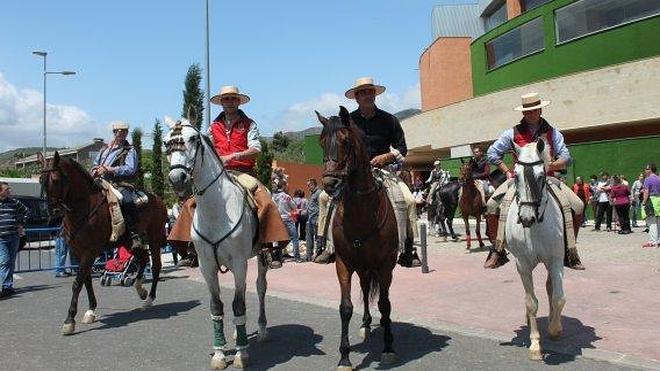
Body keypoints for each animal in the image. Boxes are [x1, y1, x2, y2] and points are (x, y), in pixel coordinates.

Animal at [38, 153, 168, 336]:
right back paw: (140, 288)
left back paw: (149, 299)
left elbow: (77, 283)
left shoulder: (90, 251)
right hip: (129, 243)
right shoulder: (78, 252)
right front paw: (90, 311)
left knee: (155, 266)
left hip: (154, 238)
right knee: (142, 259)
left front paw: (69, 320)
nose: (52, 212)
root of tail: (158, 200)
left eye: (55, 179)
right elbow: (86, 281)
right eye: (41, 180)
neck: (84, 208)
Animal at [164, 118, 268, 370]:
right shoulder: (207, 265)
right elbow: (217, 306)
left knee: (260, 288)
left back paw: (261, 330)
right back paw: (237, 332)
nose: (177, 179)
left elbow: (238, 305)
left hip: (260, 258)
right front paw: (220, 353)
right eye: (165, 142)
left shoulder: (240, 263)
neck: (216, 209)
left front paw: (241, 354)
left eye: (193, 138)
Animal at [318, 106, 400, 370]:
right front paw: (344, 357)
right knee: (364, 290)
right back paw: (365, 324)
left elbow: (385, 303)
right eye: (322, 142)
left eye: (345, 142)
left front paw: (388, 347)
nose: (330, 183)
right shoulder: (344, 263)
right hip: (363, 267)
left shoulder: (384, 265)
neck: (362, 212)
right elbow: (345, 308)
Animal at [506, 140, 564, 360]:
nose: (526, 218)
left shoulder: (556, 260)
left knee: (550, 289)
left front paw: (555, 328)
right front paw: (535, 344)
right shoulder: (522, 264)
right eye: (516, 176)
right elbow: (531, 302)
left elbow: (558, 297)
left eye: (541, 176)